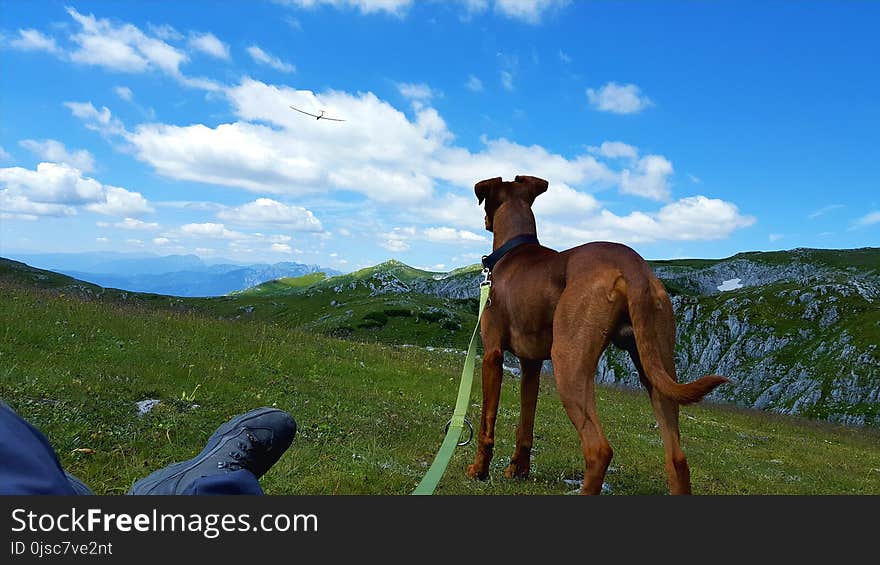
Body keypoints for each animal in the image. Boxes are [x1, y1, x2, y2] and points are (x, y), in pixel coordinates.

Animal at [470, 175, 724, 494]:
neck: (514, 250)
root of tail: (632, 266)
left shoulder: (492, 354)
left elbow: (486, 423)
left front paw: (479, 470)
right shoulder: (532, 366)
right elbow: (525, 426)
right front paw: (518, 470)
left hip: (568, 363)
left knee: (599, 450)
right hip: (658, 367)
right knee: (677, 458)